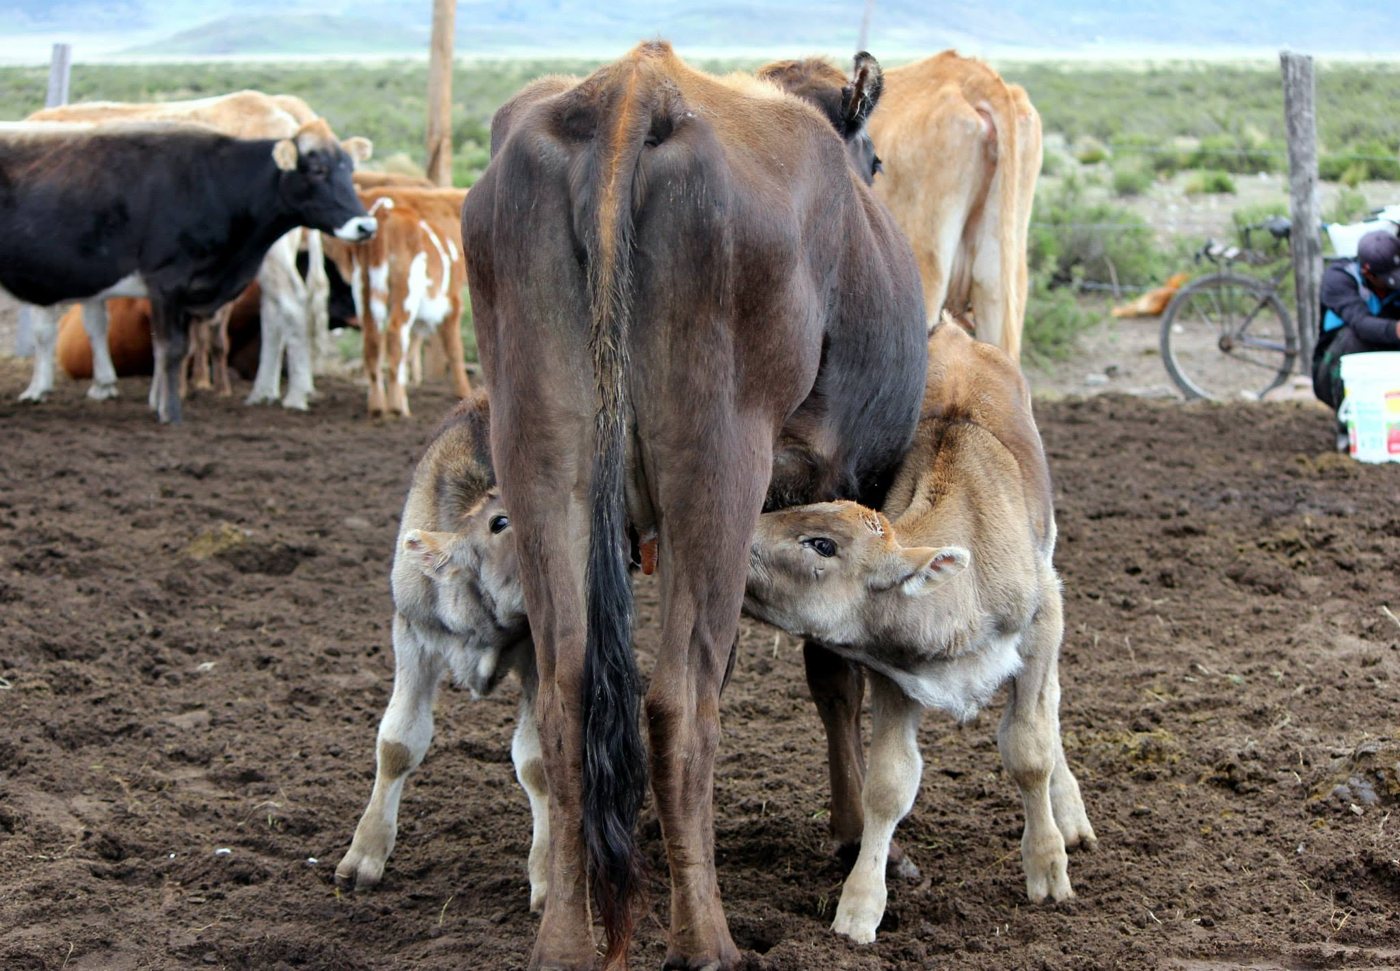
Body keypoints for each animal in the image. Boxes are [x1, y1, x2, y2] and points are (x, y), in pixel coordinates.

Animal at [0, 120, 376, 422]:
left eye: (349, 170)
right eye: (317, 170)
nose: (366, 225)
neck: (216, 184)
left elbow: (167, 350)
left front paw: (160, 404)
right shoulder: (166, 282)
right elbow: (172, 349)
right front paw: (171, 414)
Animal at [323, 186, 472, 416]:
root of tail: (385, 214)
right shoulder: (452, 305)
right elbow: (455, 350)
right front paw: (464, 392)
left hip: (365, 292)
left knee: (373, 341)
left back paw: (377, 405)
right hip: (404, 295)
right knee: (394, 336)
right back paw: (396, 407)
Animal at [462, 41, 926, 970]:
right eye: (878, 161)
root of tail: (634, 89)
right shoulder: (847, 479)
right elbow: (835, 666)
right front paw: (852, 832)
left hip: (544, 466)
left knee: (570, 692)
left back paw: (566, 940)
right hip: (717, 469)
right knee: (681, 699)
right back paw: (705, 938)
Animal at [744, 321, 1097, 944]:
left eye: (822, 544)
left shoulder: (1042, 622)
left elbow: (1029, 748)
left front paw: (1048, 867)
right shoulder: (894, 671)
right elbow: (889, 783)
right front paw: (860, 906)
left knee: (1051, 706)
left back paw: (1070, 814)